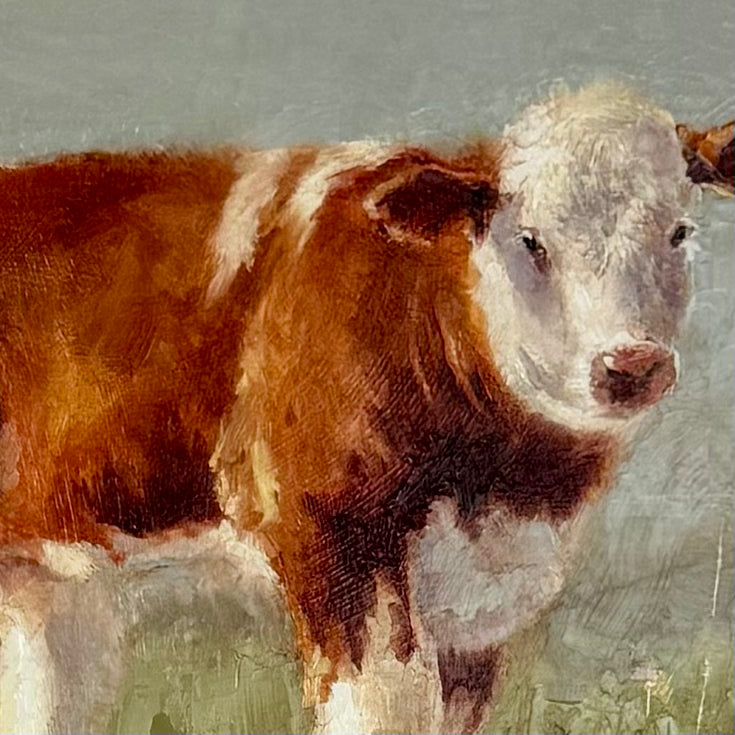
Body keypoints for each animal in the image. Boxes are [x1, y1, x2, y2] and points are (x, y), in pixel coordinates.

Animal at [0, 82, 732, 734]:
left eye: (678, 231)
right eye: (529, 240)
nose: (631, 365)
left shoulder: (477, 613)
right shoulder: (334, 542)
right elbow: (381, 706)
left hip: (42, 579)